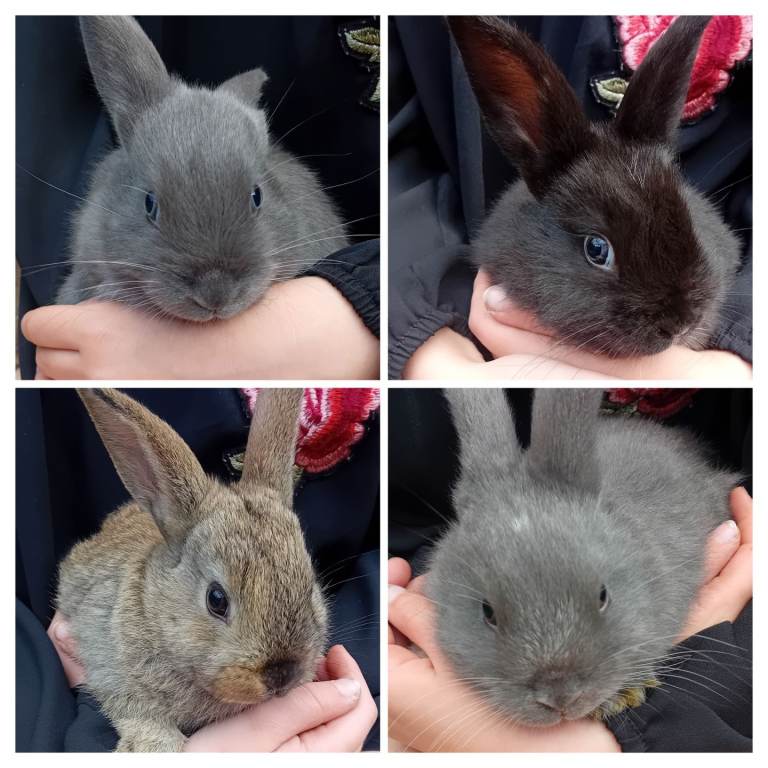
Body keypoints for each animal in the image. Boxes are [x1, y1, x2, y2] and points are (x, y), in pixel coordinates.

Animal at [55, 388, 328, 751]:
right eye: (216, 600)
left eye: (309, 586)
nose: (283, 675)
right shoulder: (106, 663)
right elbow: (134, 710)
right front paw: (154, 746)